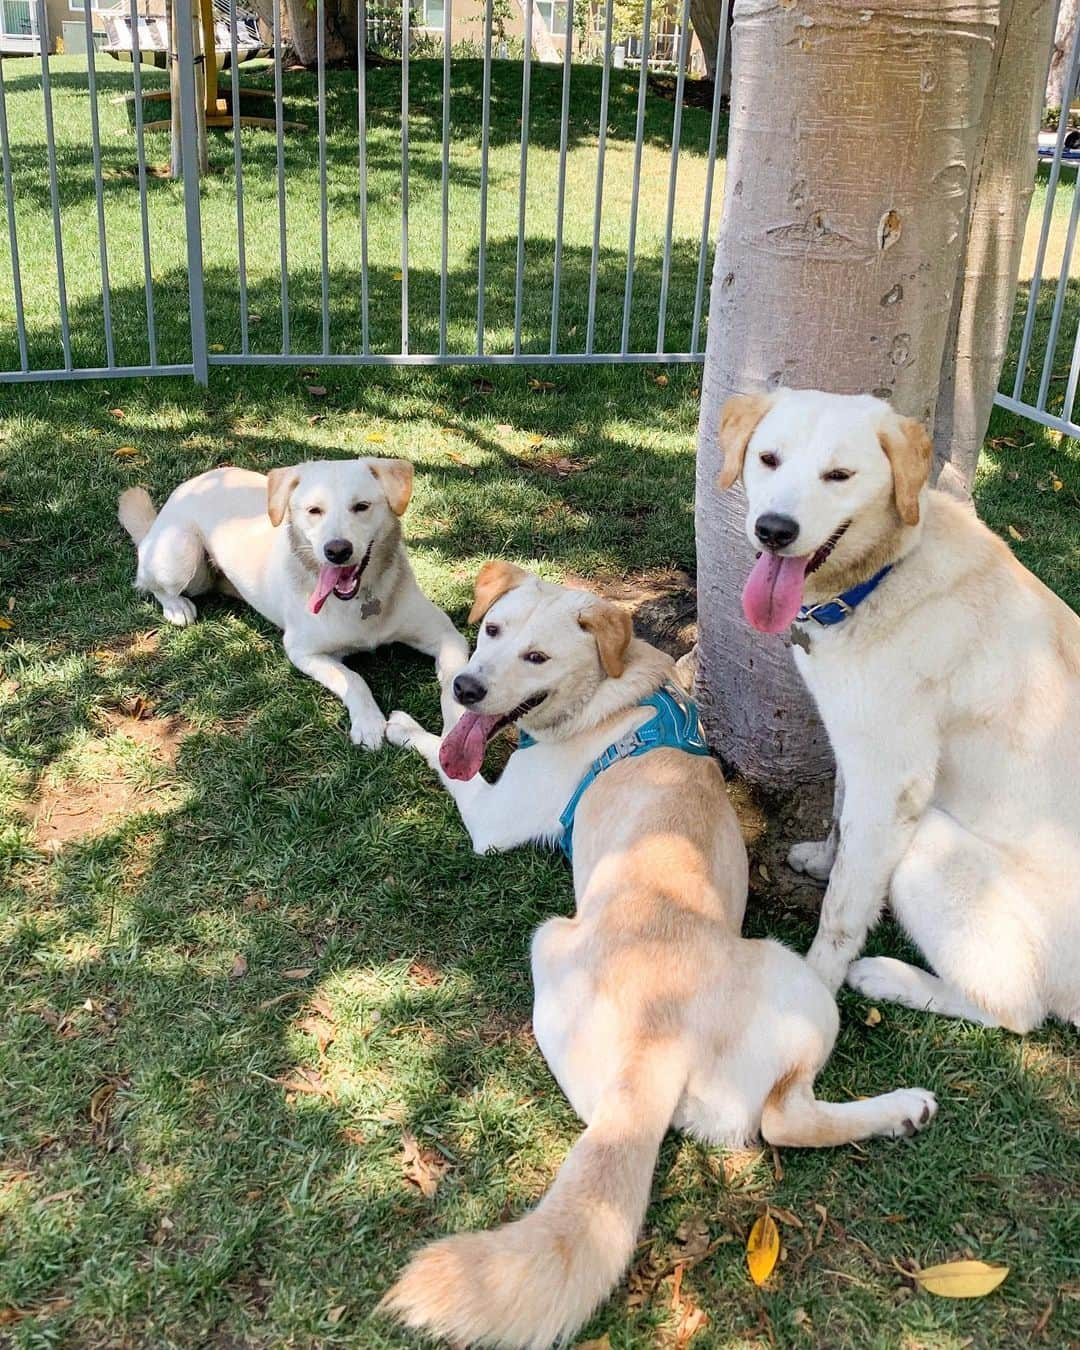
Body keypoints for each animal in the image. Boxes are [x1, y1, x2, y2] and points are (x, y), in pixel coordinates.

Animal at [116, 456, 464, 750]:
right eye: (314, 511)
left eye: (362, 506)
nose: (337, 550)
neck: (359, 600)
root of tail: (190, 484)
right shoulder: (303, 652)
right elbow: (354, 679)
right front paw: (368, 722)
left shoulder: (446, 635)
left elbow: (454, 683)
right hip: (181, 557)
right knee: (147, 580)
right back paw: (176, 607)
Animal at [380, 567, 934, 1350]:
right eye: (493, 631)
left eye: (537, 657)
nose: (472, 685)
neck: (615, 695)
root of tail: (658, 1034)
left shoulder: (489, 817)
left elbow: (443, 746)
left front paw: (409, 720)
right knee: (775, 1120)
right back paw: (901, 1113)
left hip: (574, 939)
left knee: (785, 1123)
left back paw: (904, 1107)